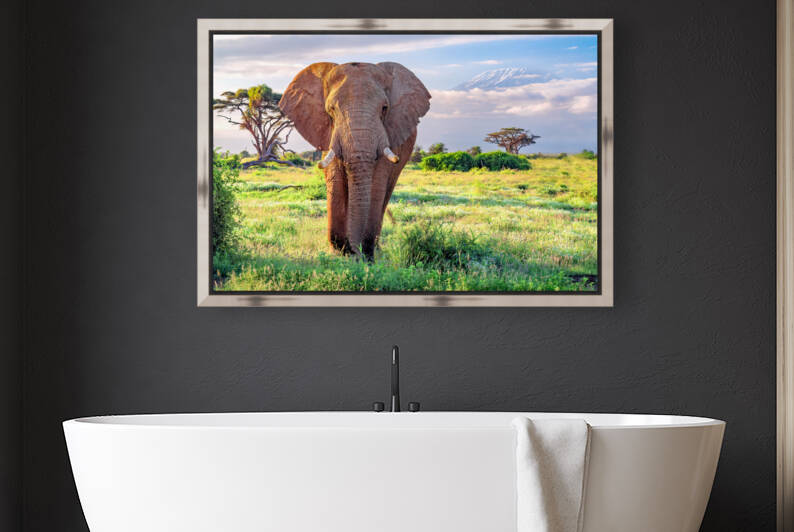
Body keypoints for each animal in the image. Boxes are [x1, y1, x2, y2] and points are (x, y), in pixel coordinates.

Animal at [279, 62, 431, 260]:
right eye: (331, 110)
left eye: (384, 108)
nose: (355, 251)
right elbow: (335, 178)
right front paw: (339, 251)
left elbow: (377, 184)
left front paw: (366, 254)